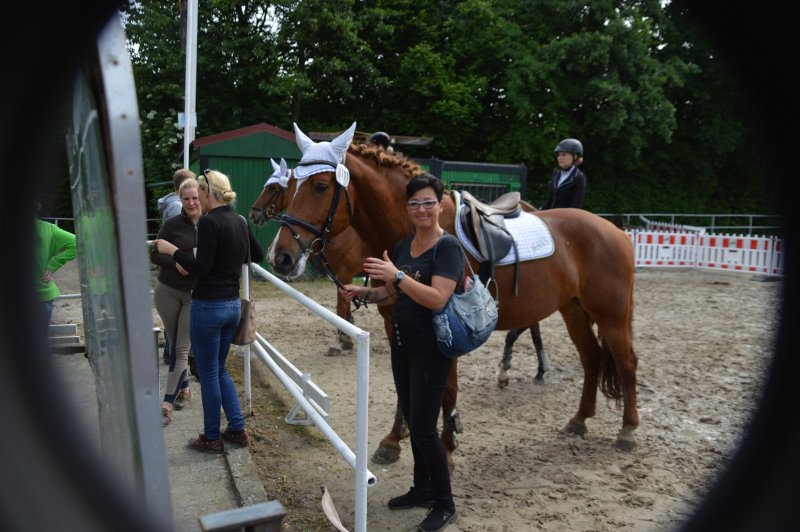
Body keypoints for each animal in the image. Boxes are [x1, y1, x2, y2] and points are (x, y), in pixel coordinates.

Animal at [268, 126, 640, 453]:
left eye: (320, 186)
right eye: (290, 185)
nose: (280, 256)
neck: (415, 231)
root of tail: (615, 230)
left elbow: (447, 392)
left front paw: (445, 446)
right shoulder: (395, 324)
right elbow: (403, 385)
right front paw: (393, 441)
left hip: (610, 314)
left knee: (626, 362)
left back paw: (628, 431)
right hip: (573, 309)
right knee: (591, 358)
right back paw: (579, 420)